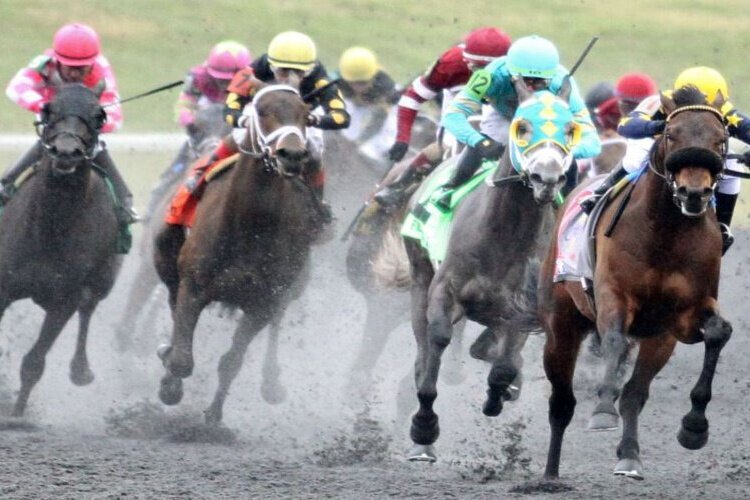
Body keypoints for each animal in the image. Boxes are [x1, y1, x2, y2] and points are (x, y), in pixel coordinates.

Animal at [0, 84, 121, 416]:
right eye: (48, 109)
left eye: (99, 115)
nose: (66, 152)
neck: (49, 229)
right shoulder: (3, 286)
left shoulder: (64, 299)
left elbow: (34, 363)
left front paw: (17, 416)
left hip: (103, 280)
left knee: (88, 309)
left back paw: (81, 369)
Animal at [154, 84, 328, 424]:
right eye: (262, 111)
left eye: (306, 115)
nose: (291, 154)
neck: (250, 225)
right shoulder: (193, 285)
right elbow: (182, 357)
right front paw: (170, 384)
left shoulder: (263, 303)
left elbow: (232, 361)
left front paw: (213, 415)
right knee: (172, 304)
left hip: (293, 286)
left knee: (277, 324)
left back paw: (272, 382)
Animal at [406, 81, 576, 460]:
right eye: (521, 126)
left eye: (570, 129)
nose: (547, 178)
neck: (506, 234)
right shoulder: (445, 290)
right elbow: (437, 341)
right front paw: (424, 425)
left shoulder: (520, 308)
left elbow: (504, 367)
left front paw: (500, 394)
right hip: (419, 275)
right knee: (423, 343)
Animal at [540, 86, 736, 480]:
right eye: (671, 134)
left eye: (720, 139)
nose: (694, 193)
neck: (664, 233)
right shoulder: (612, 295)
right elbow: (614, 338)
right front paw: (603, 408)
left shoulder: (682, 316)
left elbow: (718, 332)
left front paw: (694, 427)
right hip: (560, 324)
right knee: (561, 402)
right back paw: (550, 474)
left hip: (658, 339)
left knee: (634, 393)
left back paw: (629, 455)